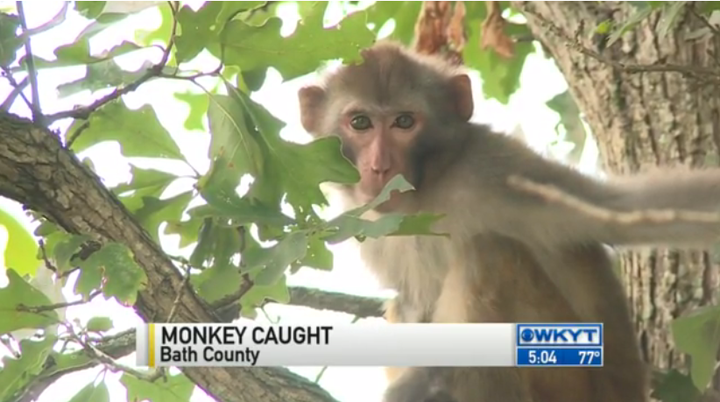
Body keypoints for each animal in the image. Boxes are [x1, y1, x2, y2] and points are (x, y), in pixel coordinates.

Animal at [296, 40, 720, 402]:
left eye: (404, 122)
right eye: (360, 123)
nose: (380, 167)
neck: (428, 191)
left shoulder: (498, 170)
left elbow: (624, 209)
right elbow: (412, 304)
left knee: (488, 255)